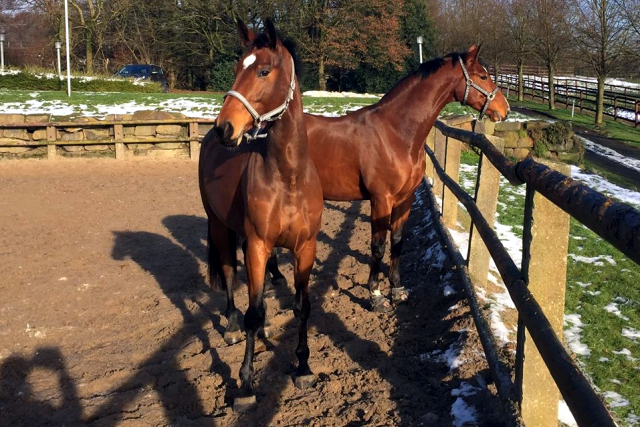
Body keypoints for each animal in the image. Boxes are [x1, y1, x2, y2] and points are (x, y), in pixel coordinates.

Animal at [198, 18, 322, 410]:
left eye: (263, 71)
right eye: (238, 67)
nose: (225, 127)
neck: (288, 176)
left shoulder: (305, 248)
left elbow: (302, 307)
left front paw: (303, 366)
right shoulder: (256, 244)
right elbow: (251, 314)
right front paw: (246, 384)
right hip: (219, 227)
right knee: (228, 271)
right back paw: (230, 324)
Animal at [268, 44, 508, 310]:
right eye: (483, 76)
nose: (504, 109)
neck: (395, 133)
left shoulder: (405, 198)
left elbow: (397, 241)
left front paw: (397, 289)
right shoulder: (381, 199)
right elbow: (378, 246)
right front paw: (375, 295)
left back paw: (276, 276)